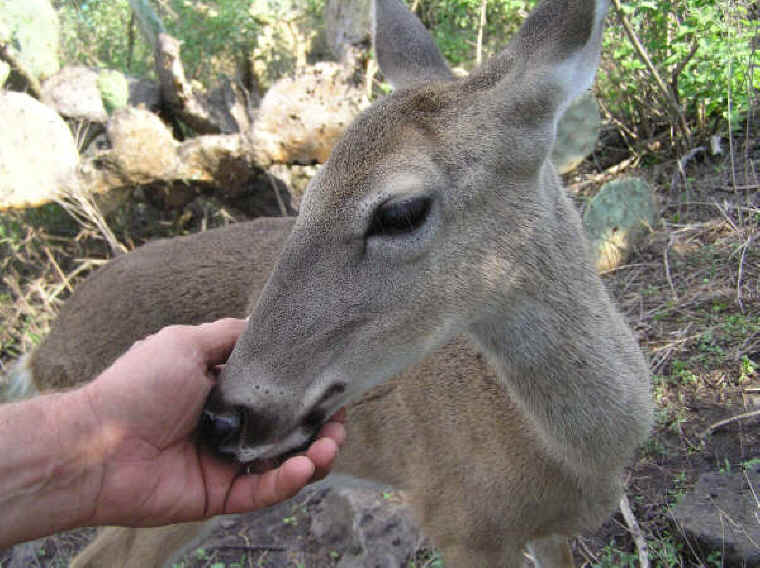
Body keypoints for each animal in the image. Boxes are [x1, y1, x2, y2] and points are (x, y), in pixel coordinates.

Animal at [4, 0, 653, 565]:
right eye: (308, 192)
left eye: (399, 211)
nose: (222, 417)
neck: (573, 457)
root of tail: (40, 355)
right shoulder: (457, 522)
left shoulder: (551, 534)